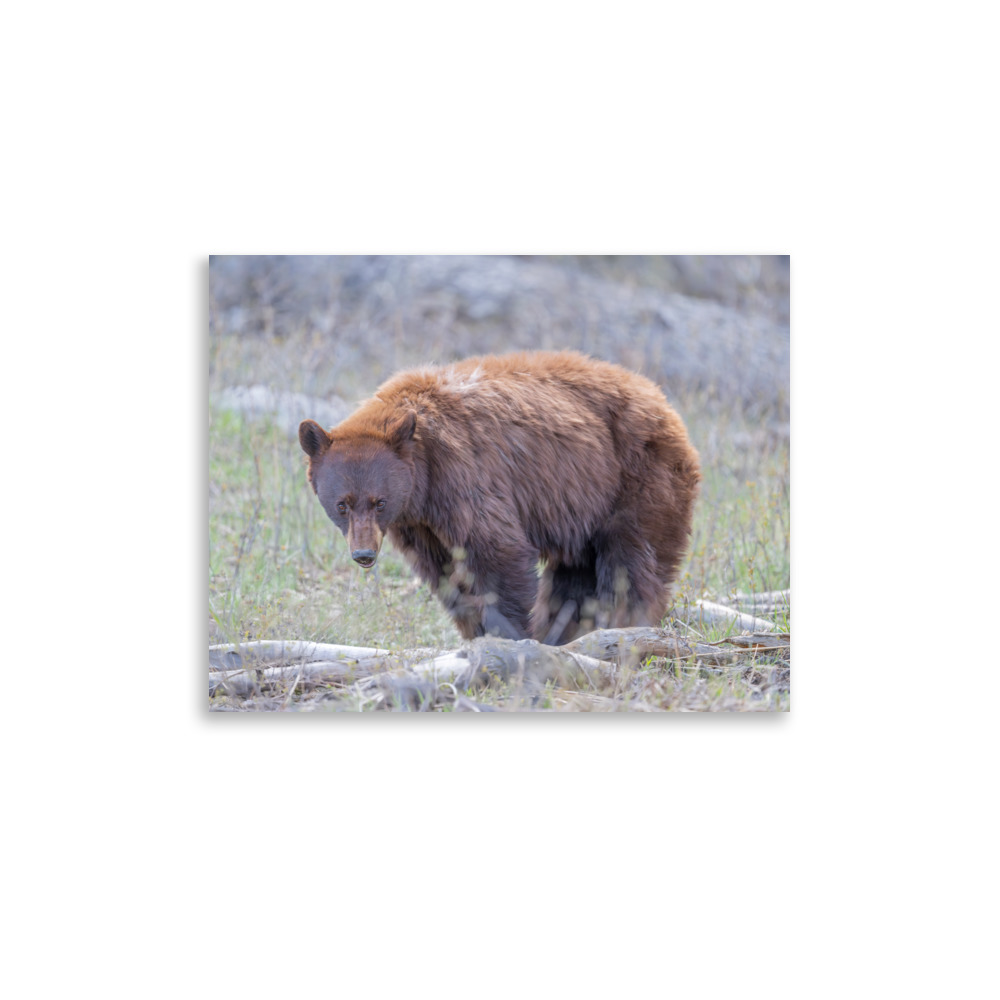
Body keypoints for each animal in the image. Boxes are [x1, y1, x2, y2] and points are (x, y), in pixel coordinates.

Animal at [298, 350, 701, 645]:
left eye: (379, 502)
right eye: (342, 504)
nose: (364, 554)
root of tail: (662, 400)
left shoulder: (465, 476)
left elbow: (497, 552)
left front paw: (509, 634)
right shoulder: (419, 524)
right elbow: (445, 573)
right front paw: (477, 632)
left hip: (637, 477)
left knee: (631, 561)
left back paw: (622, 623)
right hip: (583, 505)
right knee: (575, 574)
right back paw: (565, 631)